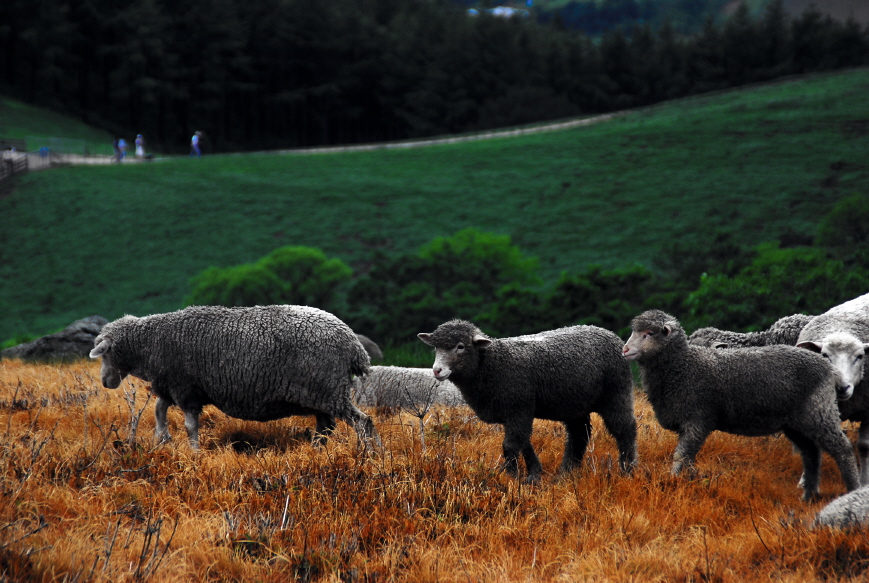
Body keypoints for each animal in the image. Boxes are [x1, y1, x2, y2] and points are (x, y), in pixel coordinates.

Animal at [87, 306, 380, 452]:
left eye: (105, 353)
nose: (105, 382)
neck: (152, 342)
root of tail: (354, 345)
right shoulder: (173, 387)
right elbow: (159, 411)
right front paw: (162, 439)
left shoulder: (186, 389)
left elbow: (190, 425)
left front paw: (194, 452)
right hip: (323, 395)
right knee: (326, 428)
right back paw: (318, 453)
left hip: (329, 390)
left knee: (363, 422)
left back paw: (369, 454)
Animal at [418, 320, 636, 484]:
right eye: (436, 347)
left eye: (460, 346)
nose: (437, 370)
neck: (492, 364)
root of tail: (610, 334)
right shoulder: (511, 412)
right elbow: (523, 442)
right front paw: (534, 473)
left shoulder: (519, 407)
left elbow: (511, 444)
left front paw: (512, 476)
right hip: (575, 404)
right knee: (579, 434)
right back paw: (567, 472)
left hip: (616, 393)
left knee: (625, 428)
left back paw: (628, 468)